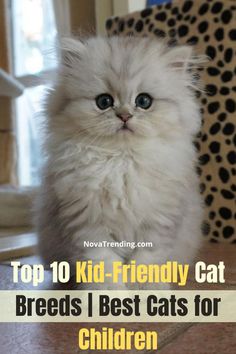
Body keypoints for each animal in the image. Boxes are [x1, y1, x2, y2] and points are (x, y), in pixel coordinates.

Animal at [36, 36, 204, 290]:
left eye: (143, 101)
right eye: (104, 101)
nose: (124, 116)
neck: (122, 162)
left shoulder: (157, 224)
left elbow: (147, 261)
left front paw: (147, 289)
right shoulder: (88, 224)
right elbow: (102, 264)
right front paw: (107, 291)